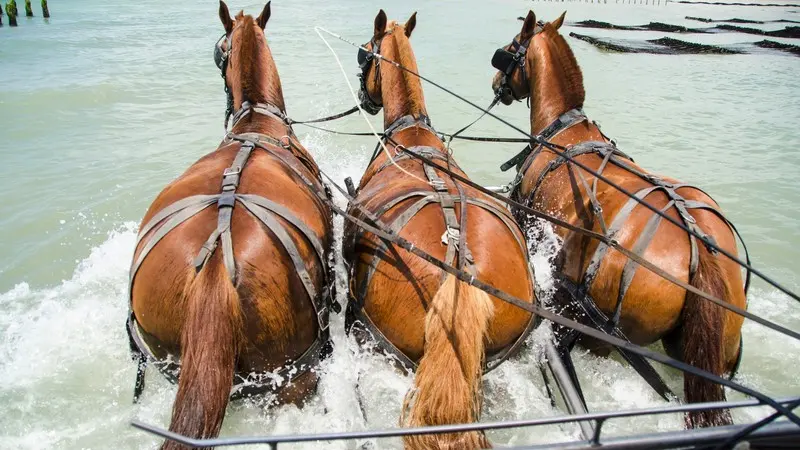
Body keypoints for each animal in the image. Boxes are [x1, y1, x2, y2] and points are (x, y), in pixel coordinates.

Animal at [490, 9, 748, 426]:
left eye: (512, 47)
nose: (497, 82)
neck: (562, 129)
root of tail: (699, 252)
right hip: (713, 348)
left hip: (600, 332)